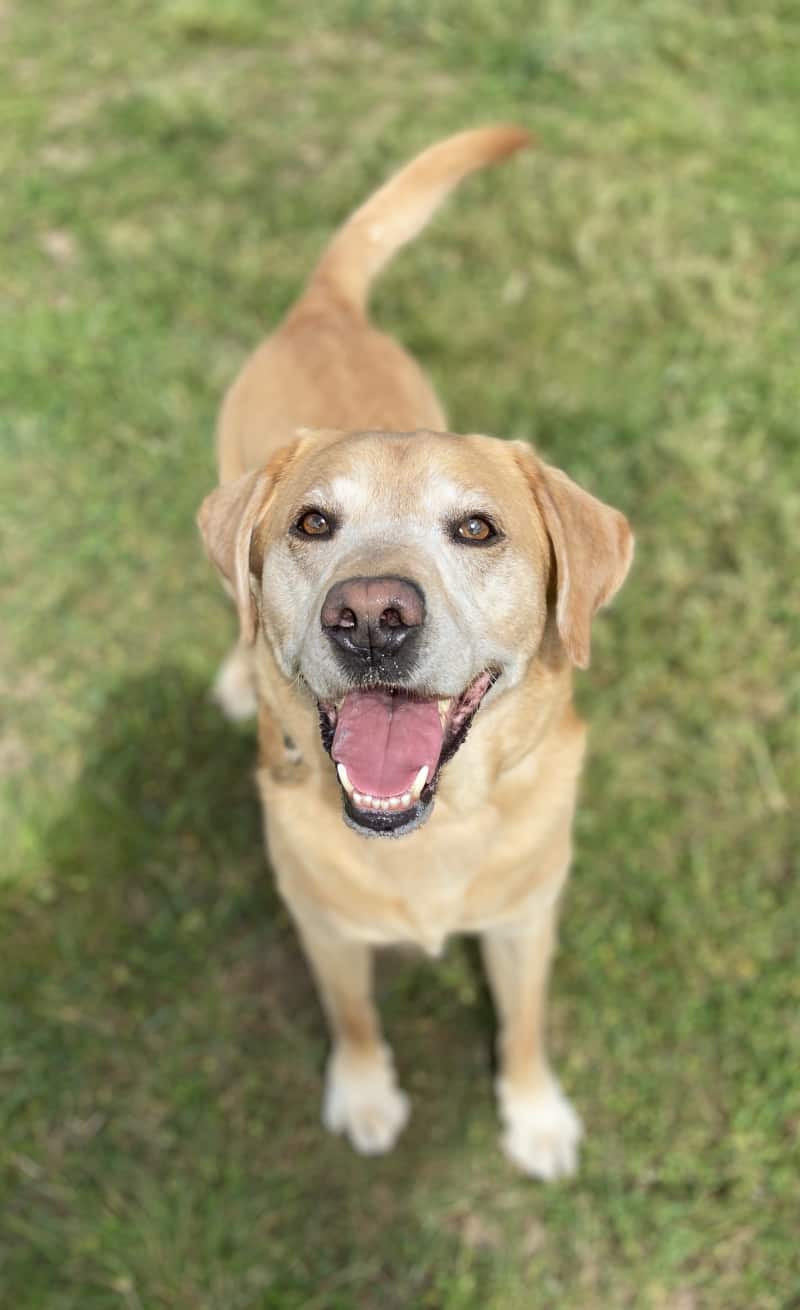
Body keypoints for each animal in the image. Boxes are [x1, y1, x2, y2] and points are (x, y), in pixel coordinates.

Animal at [199, 127, 631, 1184]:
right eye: (314, 522)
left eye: (476, 528)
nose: (370, 616)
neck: (429, 836)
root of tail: (322, 306)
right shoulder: (324, 930)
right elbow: (354, 1015)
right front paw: (364, 1095)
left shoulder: (527, 919)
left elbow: (523, 1023)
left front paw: (534, 1114)